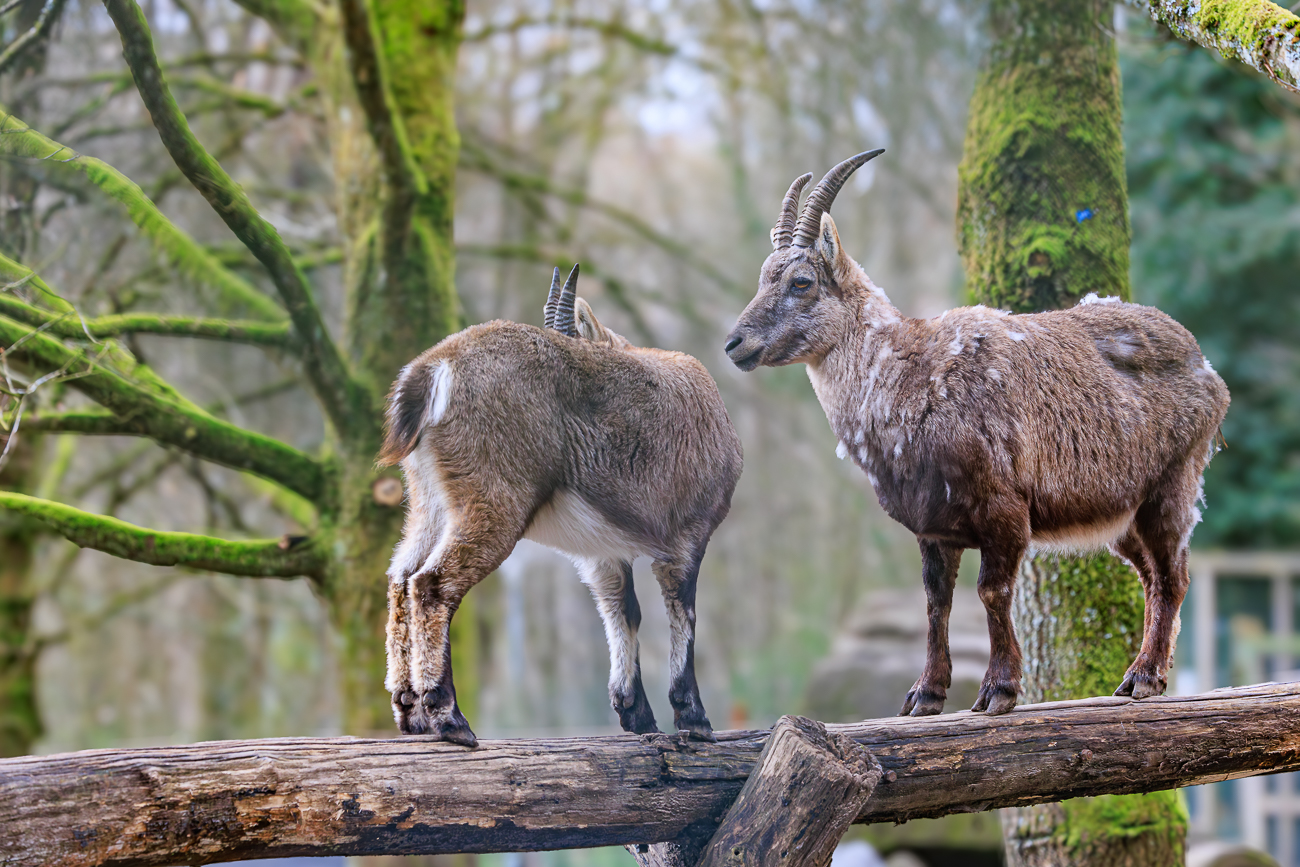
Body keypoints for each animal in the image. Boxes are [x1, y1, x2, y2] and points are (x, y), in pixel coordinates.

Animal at [379, 265, 743, 745]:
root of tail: (434, 368)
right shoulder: (688, 536)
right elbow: (682, 611)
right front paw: (694, 718)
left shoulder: (604, 552)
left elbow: (623, 609)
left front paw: (637, 715)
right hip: (493, 500)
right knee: (432, 584)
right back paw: (448, 716)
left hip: (430, 502)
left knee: (400, 578)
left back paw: (411, 713)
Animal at [724, 151, 1229, 716]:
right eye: (764, 276)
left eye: (801, 282)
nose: (734, 344)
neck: (908, 379)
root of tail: (1207, 368)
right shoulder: (934, 527)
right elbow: (936, 602)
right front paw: (925, 694)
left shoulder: (1003, 509)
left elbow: (991, 591)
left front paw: (998, 690)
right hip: (1121, 514)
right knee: (1149, 575)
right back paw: (1141, 675)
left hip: (1172, 485)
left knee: (1173, 576)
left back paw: (1144, 677)